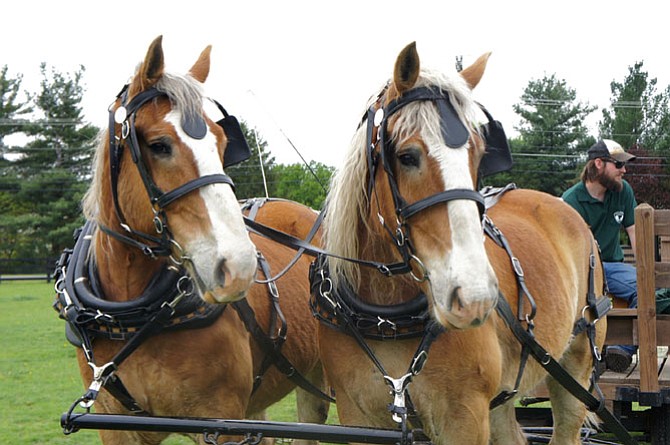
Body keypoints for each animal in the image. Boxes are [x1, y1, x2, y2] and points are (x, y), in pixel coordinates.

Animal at [69, 35, 328, 444]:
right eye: (159, 145)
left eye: (222, 143)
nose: (238, 265)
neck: (131, 318)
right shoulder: (118, 427)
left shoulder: (222, 423)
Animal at [318, 42, 612, 444]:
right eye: (407, 156)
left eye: (479, 153)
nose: (475, 298)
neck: (386, 317)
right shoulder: (358, 415)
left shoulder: (464, 415)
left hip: (575, 367)